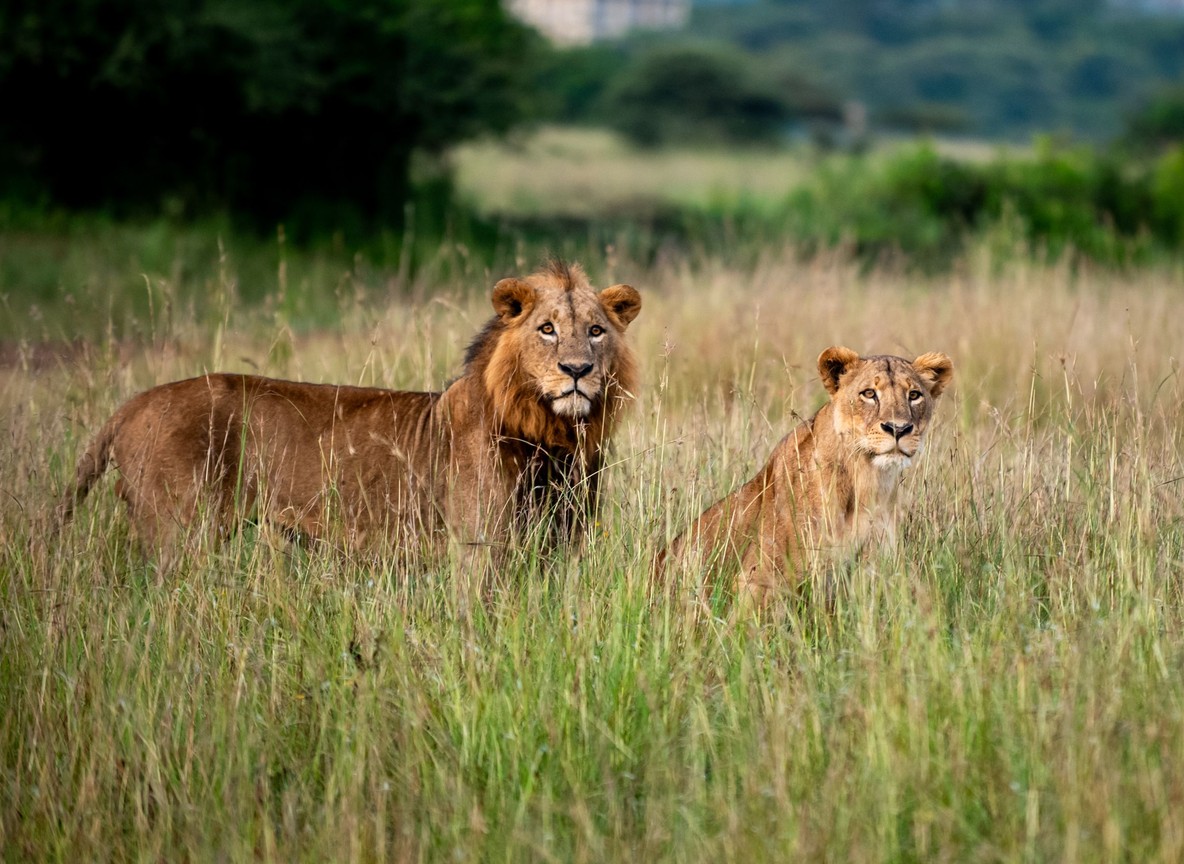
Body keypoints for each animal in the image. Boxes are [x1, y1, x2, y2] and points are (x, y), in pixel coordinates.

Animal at [58, 261, 642, 574]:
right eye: (547, 329)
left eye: (596, 331)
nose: (577, 369)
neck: (552, 435)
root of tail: (133, 403)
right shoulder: (477, 547)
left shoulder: (561, 546)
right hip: (179, 535)